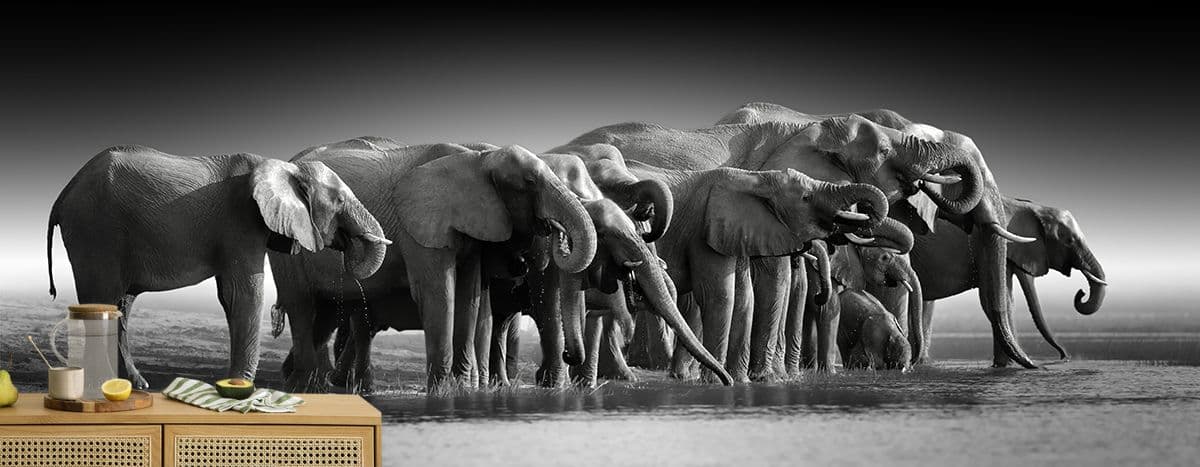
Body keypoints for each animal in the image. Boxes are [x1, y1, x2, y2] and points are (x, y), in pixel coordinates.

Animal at [46, 145, 389, 389]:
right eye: (340, 201)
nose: (347, 247)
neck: (282, 166)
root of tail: (64, 192)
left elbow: (229, 296)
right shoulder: (241, 222)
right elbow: (244, 295)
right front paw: (241, 388)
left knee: (121, 304)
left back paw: (132, 383)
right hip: (95, 230)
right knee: (102, 298)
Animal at [269, 140, 598, 391]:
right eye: (529, 183)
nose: (554, 231)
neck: (478, 160)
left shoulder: (474, 230)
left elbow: (470, 297)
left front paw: (464, 389)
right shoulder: (419, 228)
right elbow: (439, 295)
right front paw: (441, 391)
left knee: (324, 316)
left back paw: (304, 383)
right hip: (288, 239)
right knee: (302, 306)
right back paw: (305, 385)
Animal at [915, 196, 1107, 363]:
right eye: (1069, 240)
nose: (1064, 356)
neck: (1031, 207)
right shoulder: (986, 248)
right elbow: (996, 300)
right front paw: (1008, 365)